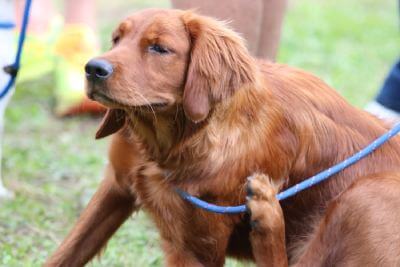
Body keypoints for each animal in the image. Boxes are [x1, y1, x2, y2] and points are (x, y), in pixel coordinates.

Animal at [46, 8, 400, 267]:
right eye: (116, 39)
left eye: (159, 48)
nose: (93, 69)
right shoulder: (116, 186)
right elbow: (66, 253)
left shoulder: (194, 248)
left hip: (366, 193)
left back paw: (267, 214)